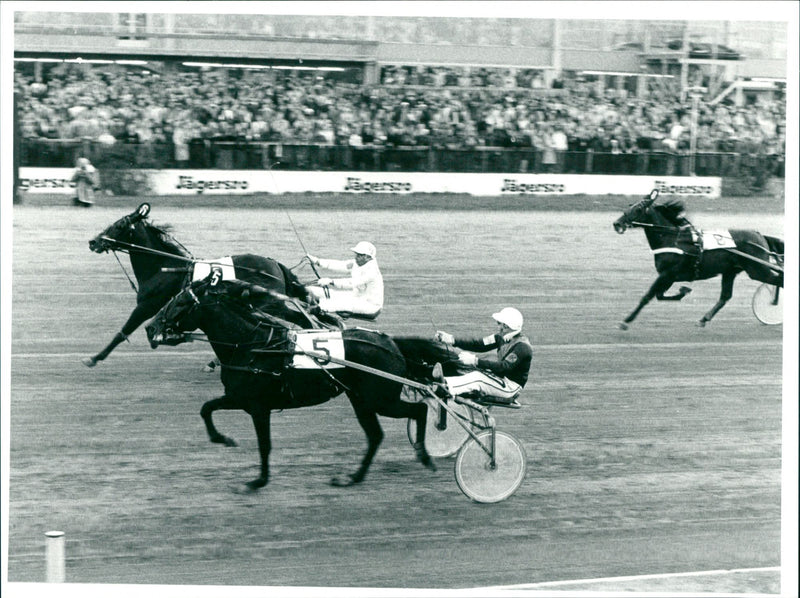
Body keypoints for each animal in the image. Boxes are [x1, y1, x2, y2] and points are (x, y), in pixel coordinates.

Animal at [85, 204, 310, 368]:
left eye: (118, 226)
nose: (93, 242)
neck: (164, 266)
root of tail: (275, 264)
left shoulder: (146, 306)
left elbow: (123, 331)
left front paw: (94, 358)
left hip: (270, 304)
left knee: (299, 317)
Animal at [142, 278, 432, 494]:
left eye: (180, 302)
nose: (150, 328)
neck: (253, 345)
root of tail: (391, 344)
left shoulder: (257, 406)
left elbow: (264, 445)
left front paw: (256, 482)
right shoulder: (239, 398)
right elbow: (206, 408)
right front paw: (223, 439)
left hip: (380, 399)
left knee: (419, 411)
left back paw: (425, 457)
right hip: (361, 399)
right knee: (375, 435)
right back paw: (352, 478)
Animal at [612, 190, 780, 328]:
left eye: (638, 209)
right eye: (629, 206)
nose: (617, 224)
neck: (673, 239)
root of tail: (759, 235)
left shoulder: (667, 274)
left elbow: (647, 297)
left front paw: (626, 321)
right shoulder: (669, 276)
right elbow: (659, 295)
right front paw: (683, 291)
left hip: (758, 270)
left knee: (778, 280)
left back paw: (774, 303)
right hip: (730, 271)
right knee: (725, 296)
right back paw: (704, 319)